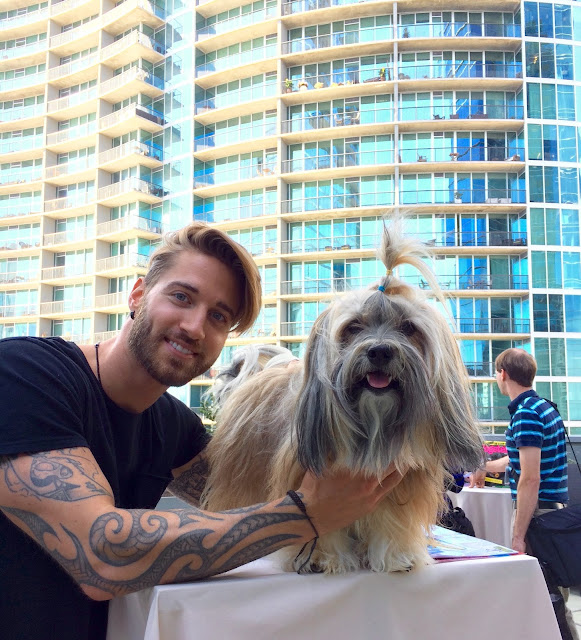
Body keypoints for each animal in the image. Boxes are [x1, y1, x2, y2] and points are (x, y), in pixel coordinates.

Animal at [202, 220, 482, 576]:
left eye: (408, 328)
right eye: (353, 326)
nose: (379, 351)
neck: (373, 427)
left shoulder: (399, 482)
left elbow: (390, 522)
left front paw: (395, 556)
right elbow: (321, 527)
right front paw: (323, 558)